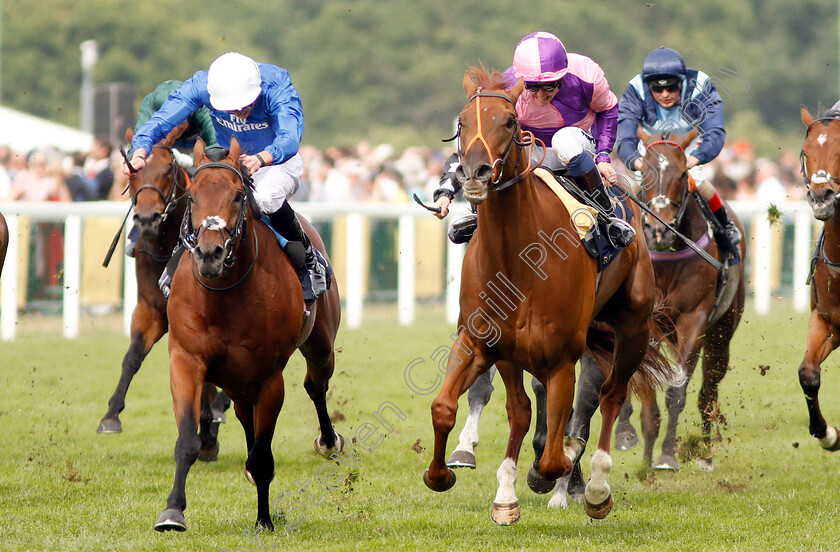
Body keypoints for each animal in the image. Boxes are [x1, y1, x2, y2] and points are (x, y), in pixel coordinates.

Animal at [97, 126, 228, 462]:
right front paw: (111, 415)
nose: (147, 218)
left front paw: (207, 427)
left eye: (168, 169)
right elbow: (132, 357)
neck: (165, 246)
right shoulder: (150, 308)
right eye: (131, 171)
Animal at [154, 137, 342, 532]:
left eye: (239, 195)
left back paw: (329, 441)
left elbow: (262, 456)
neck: (224, 294)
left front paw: (264, 520)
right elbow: (187, 441)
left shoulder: (269, 377)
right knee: (244, 413)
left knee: (316, 384)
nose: (210, 254)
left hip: (320, 346)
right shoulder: (186, 359)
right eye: (191, 196)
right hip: (234, 378)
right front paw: (172, 511)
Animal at [424, 70, 672, 528]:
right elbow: (453, 407)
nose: (474, 172)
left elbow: (557, 452)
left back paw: (596, 489)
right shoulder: (483, 343)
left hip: (633, 328)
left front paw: (553, 475)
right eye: (462, 121)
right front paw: (452, 478)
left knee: (611, 396)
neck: (518, 260)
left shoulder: (560, 359)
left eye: (508, 122)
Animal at [604, 128, 748, 470]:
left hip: (722, 332)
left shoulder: (694, 321)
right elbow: (644, 387)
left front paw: (668, 453)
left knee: (708, 390)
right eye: (644, 170)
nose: (659, 229)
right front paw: (643, 447)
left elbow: (677, 391)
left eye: (683, 173)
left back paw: (706, 451)